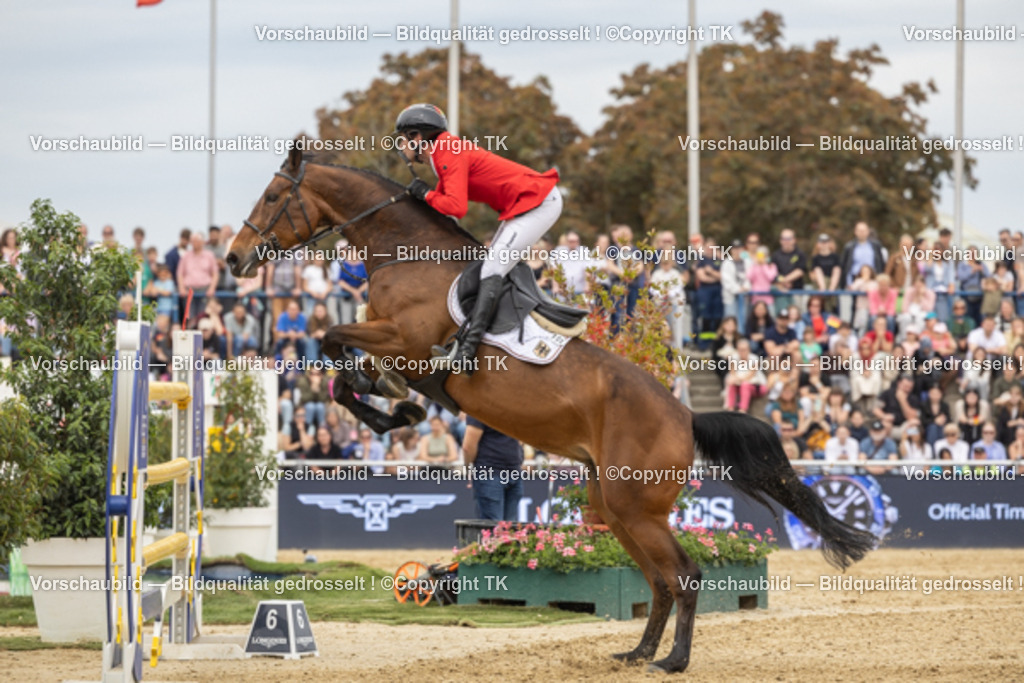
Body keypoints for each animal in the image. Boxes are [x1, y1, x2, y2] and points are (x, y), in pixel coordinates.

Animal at [227, 147, 876, 673]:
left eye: (272, 196)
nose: (234, 260)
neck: (405, 256)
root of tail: (685, 416)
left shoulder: (404, 341)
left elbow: (335, 339)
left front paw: (392, 408)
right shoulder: (394, 346)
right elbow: (343, 370)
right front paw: (391, 407)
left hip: (635, 506)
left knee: (683, 576)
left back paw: (673, 661)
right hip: (613, 506)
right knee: (659, 580)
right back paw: (637, 652)